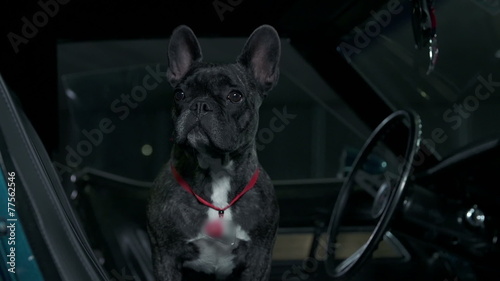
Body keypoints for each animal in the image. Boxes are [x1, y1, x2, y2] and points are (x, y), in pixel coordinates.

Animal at [147, 24, 282, 280]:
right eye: (179, 94)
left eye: (235, 96)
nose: (200, 104)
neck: (216, 172)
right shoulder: (164, 256)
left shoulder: (259, 258)